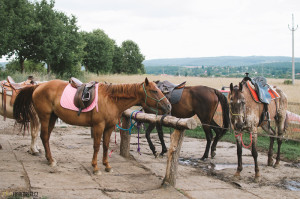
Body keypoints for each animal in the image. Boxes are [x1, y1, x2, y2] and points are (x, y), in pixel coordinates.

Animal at [13, 77, 171, 174]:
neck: (111, 100)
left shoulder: (109, 128)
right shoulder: (98, 126)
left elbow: (105, 146)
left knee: (45, 137)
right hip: (45, 117)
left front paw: (107, 165)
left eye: (159, 89)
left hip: (52, 117)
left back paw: (49, 159)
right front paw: (95, 167)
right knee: (45, 136)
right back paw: (51, 161)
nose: (168, 106)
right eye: (154, 91)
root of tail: (38, 86)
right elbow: (96, 146)